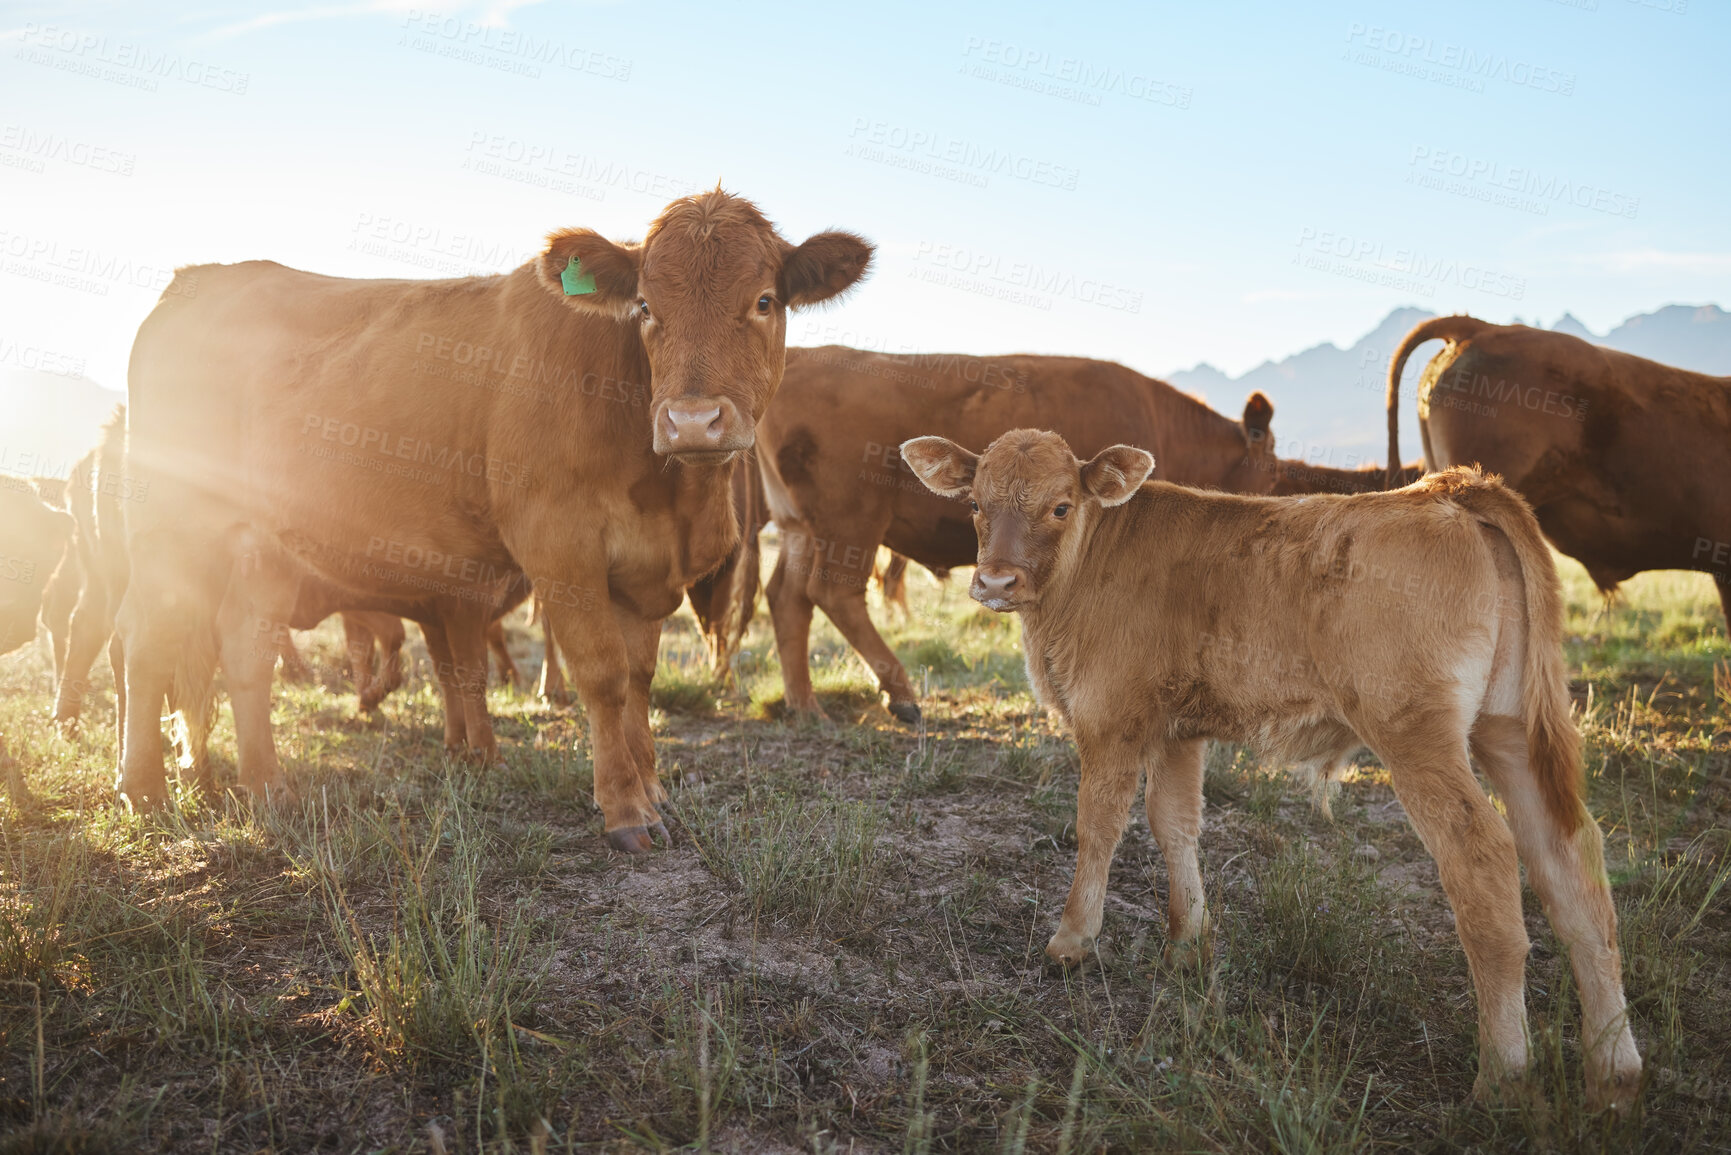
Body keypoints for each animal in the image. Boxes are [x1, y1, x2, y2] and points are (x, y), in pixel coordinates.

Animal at [119, 191, 872, 852]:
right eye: (645, 306)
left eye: (765, 300)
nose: (692, 420)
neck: (673, 494)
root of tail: (196, 280)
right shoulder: (559, 545)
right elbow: (602, 675)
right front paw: (624, 809)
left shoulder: (642, 570)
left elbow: (638, 679)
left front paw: (652, 789)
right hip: (166, 526)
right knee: (149, 640)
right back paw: (143, 788)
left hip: (262, 547)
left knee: (244, 646)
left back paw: (268, 785)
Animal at [739, 347, 1282, 723]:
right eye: (1276, 475)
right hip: (848, 525)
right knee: (834, 593)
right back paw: (902, 696)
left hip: (800, 529)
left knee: (788, 597)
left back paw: (805, 705)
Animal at [900, 428, 1641, 1111]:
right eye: (975, 501)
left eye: (1059, 505)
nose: (996, 580)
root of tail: (1445, 490)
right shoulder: (1177, 729)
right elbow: (1174, 822)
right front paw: (1187, 942)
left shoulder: (1111, 718)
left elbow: (1098, 825)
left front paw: (1071, 940)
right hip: (1508, 728)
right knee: (1571, 862)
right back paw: (1612, 1068)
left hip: (1417, 735)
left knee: (1483, 857)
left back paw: (1502, 1074)